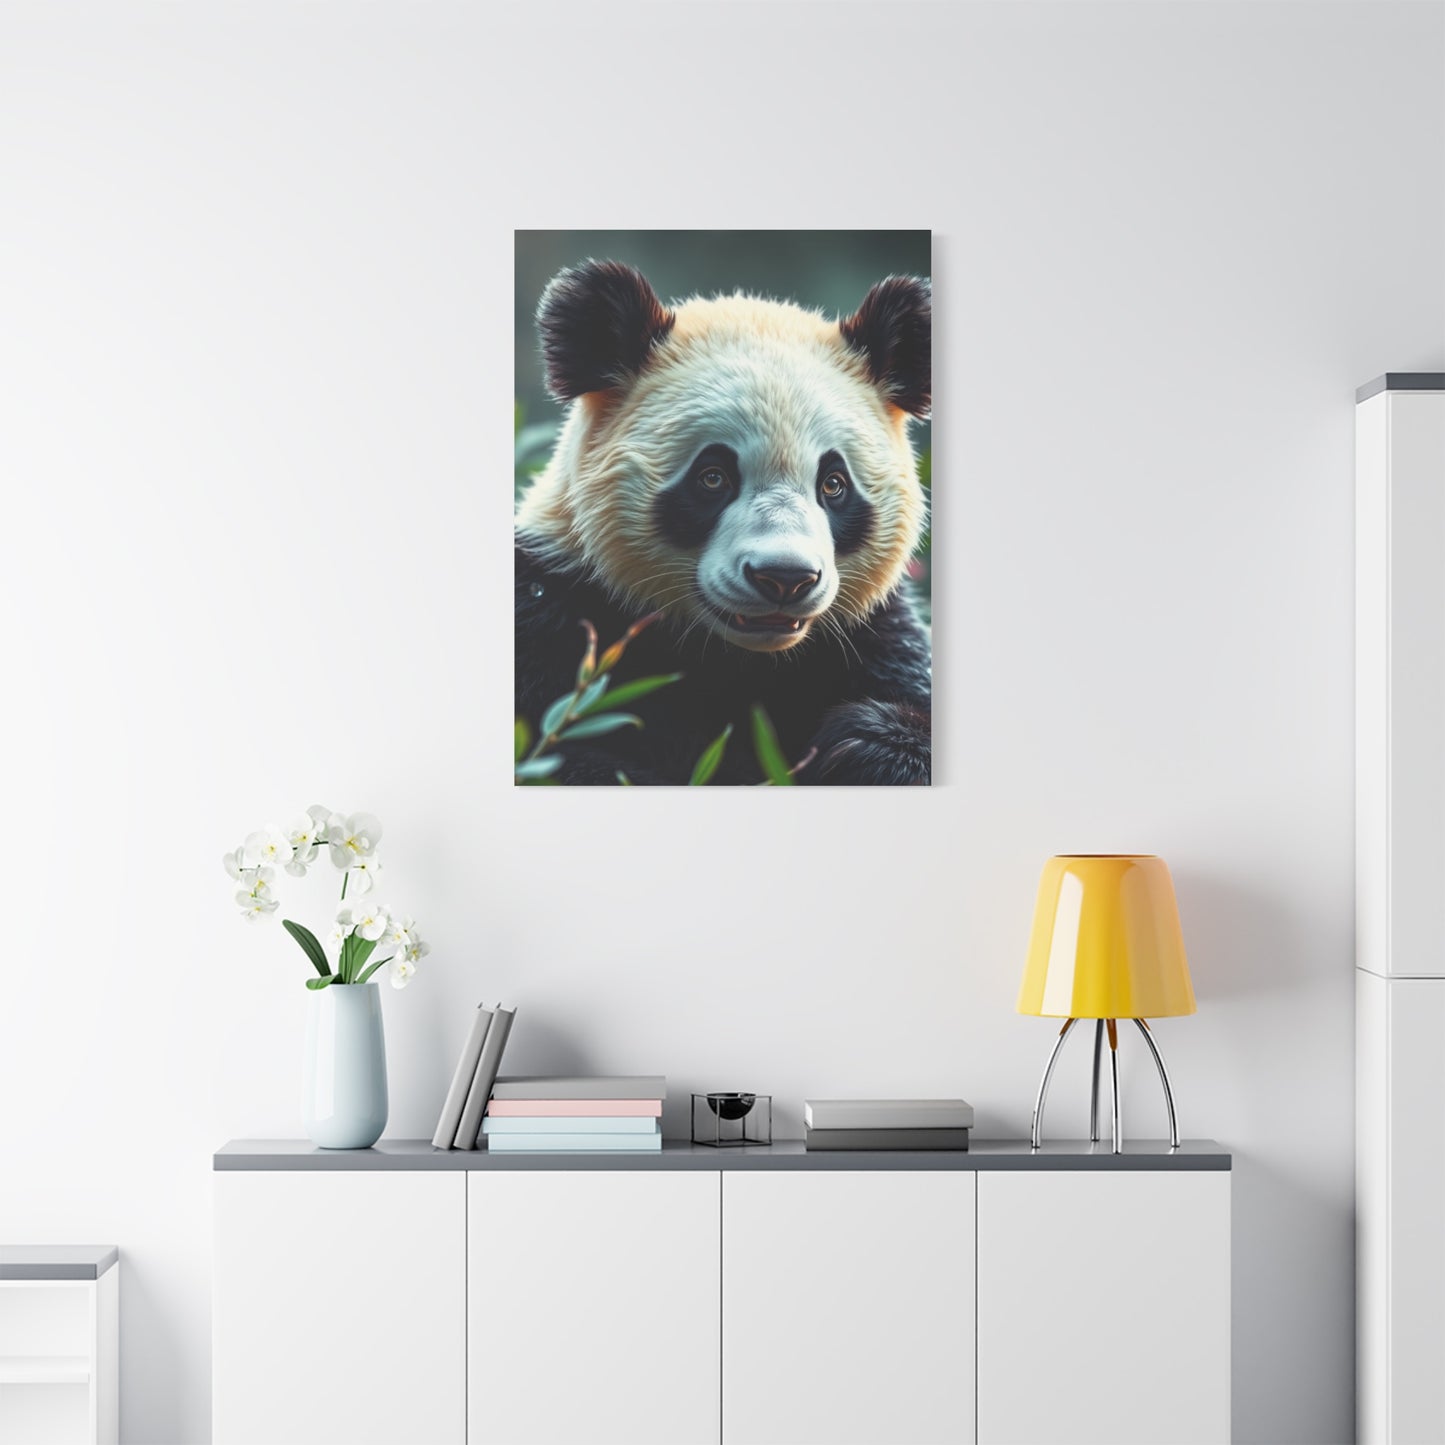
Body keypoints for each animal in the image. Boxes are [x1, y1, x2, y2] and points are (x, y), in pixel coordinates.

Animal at [515, 260, 932, 785]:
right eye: (713, 477)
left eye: (834, 484)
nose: (785, 578)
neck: (737, 657)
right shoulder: (552, 613)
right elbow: (563, 756)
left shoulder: (871, 636)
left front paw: (864, 745)